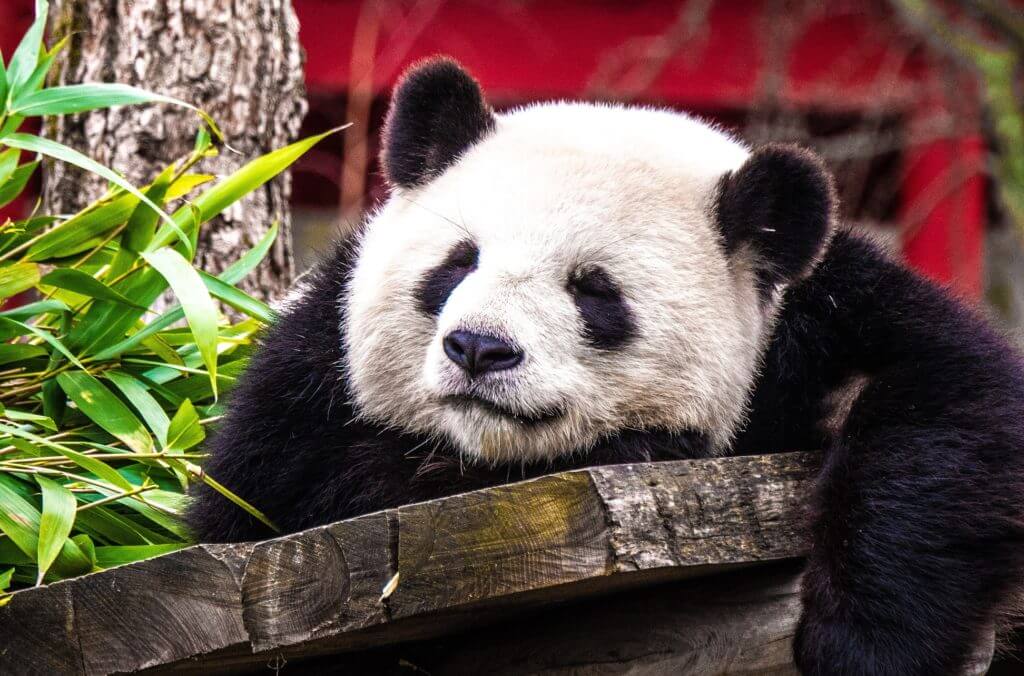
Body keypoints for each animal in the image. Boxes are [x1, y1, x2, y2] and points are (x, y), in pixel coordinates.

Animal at [187, 58, 1024, 675]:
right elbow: (278, 494)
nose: (480, 349)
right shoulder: (306, 377)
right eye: (459, 262)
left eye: (594, 291)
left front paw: (864, 644)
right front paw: (646, 446)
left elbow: (950, 401)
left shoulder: (820, 312)